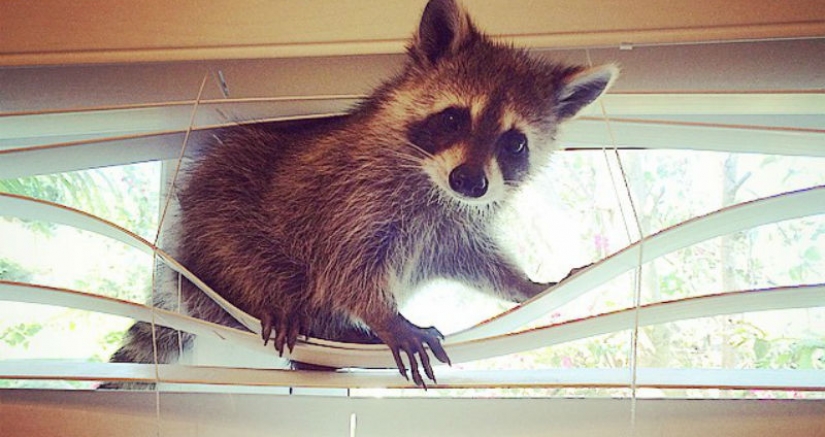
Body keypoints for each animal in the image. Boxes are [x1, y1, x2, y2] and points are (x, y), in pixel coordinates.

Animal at [106, 0, 617, 387]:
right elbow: (347, 267)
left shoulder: (452, 226)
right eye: (454, 118)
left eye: (514, 143)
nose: (471, 181)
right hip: (217, 219)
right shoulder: (351, 194)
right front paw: (386, 316)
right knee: (248, 253)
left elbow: (476, 260)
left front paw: (525, 283)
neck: (433, 183)